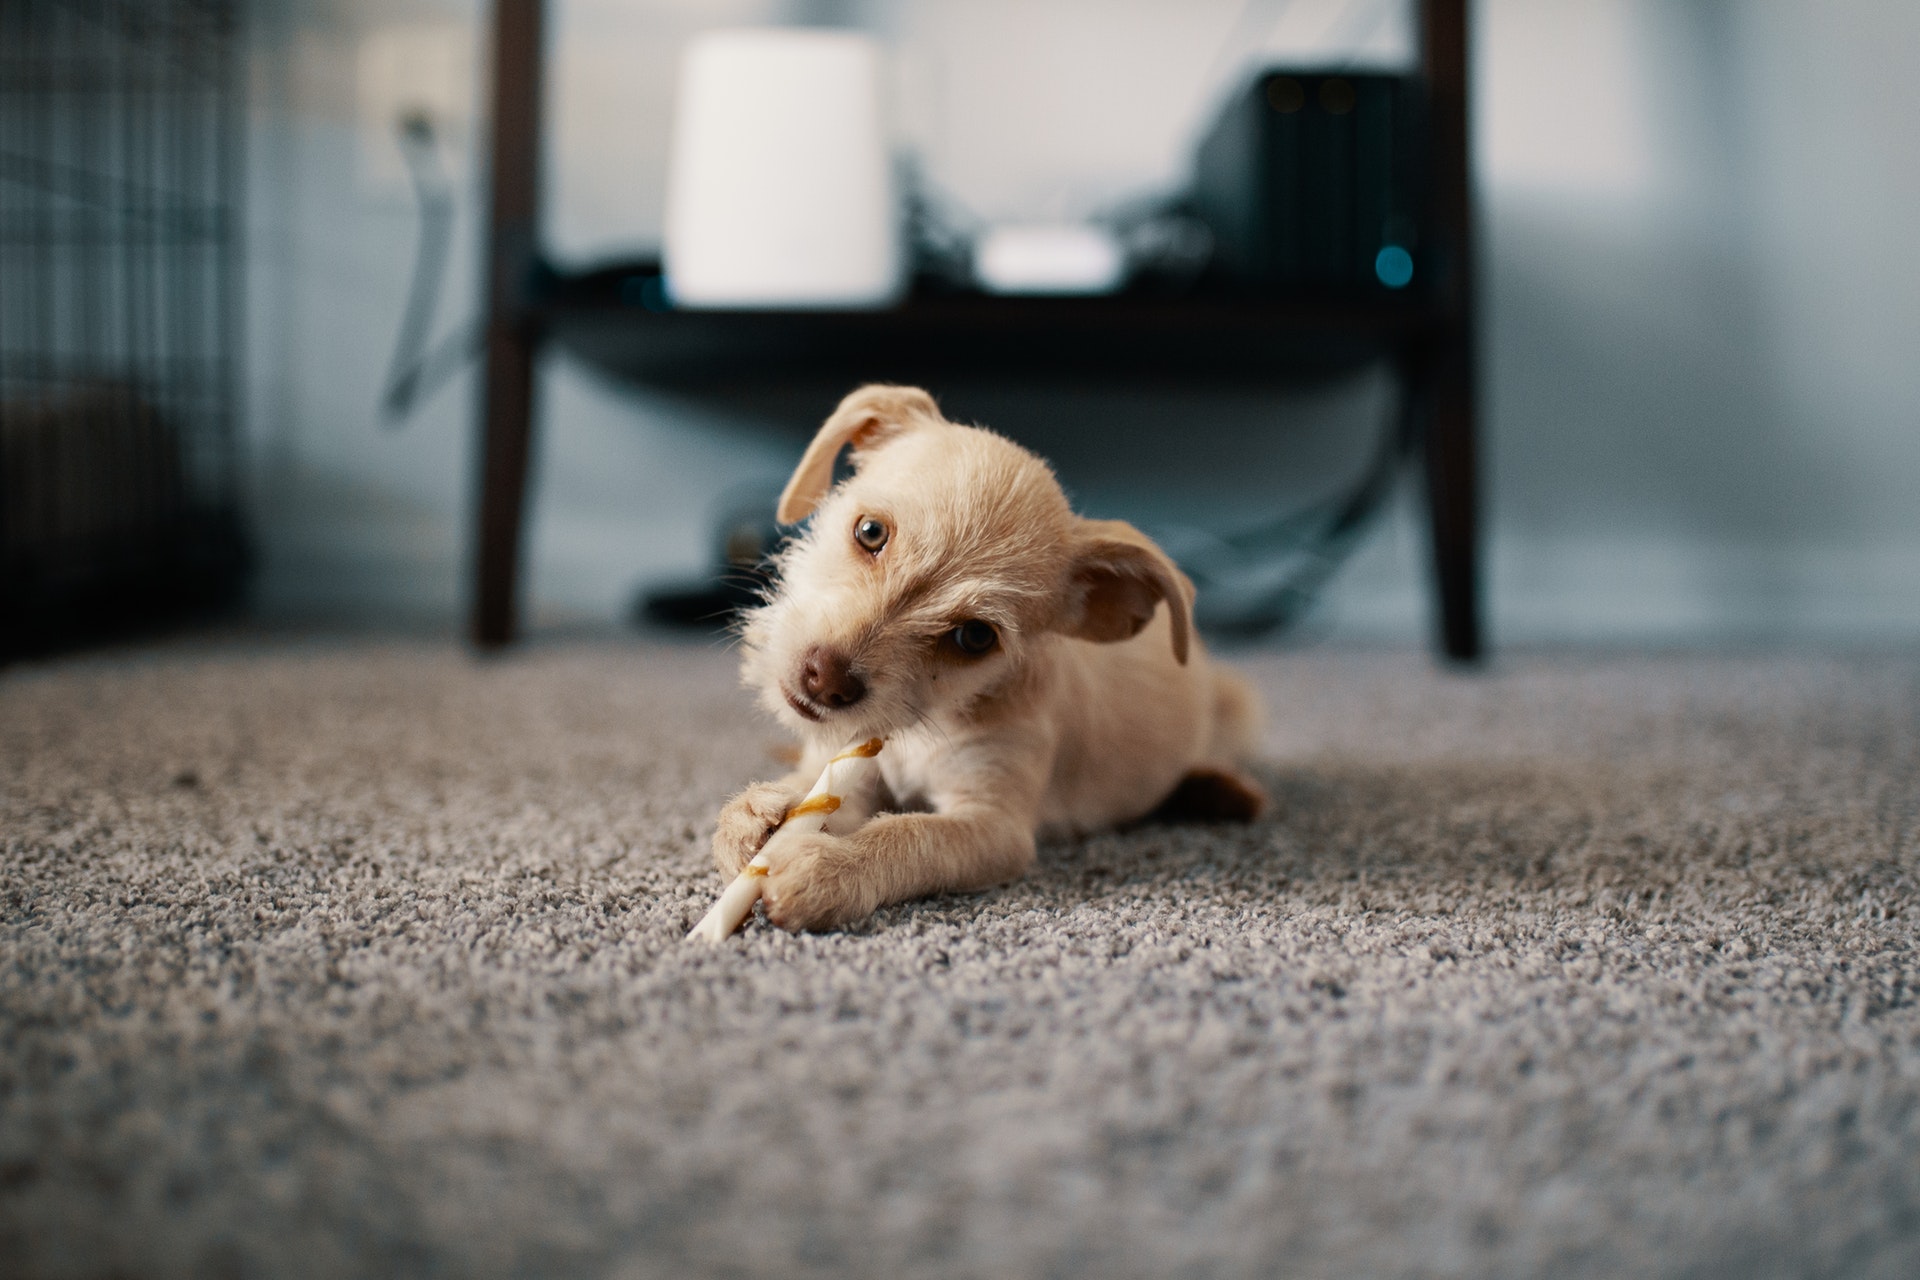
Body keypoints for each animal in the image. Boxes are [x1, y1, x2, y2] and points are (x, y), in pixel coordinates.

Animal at [714, 379, 1267, 932]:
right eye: (870, 532)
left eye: (975, 637)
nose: (825, 680)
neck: (923, 727)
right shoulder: (849, 768)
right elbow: (813, 794)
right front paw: (758, 815)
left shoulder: (994, 825)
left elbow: (910, 836)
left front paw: (830, 866)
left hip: (1238, 703)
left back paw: (1218, 789)